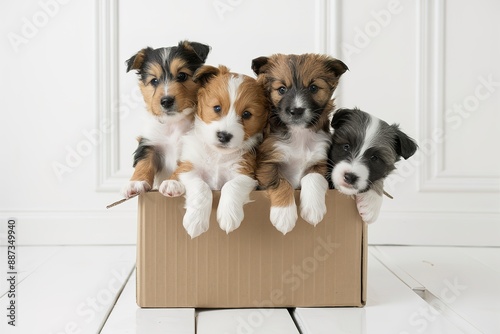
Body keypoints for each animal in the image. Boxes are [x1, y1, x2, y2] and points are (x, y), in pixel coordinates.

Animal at [121, 41, 211, 198]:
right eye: (154, 81)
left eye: (182, 75)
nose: (166, 101)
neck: (173, 123)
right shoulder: (149, 142)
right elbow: (143, 162)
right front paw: (136, 183)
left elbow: (183, 167)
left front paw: (172, 183)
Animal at [160, 65, 270, 237]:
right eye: (217, 108)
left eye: (246, 114)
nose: (224, 135)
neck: (218, 155)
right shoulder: (190, 169)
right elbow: (201, 187)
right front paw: (195, 221)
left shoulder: (245, 173)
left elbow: (231, 185)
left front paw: (228, 215)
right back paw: (171, 184)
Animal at [252, 53, 350, 234]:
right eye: (281, 89)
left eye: (313, 88)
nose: (296, 110)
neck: (299, 134)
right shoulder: (267, 164)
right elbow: (281, 183)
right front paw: (284, 216)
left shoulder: (321, 161)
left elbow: (313, 177)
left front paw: (313, 210)